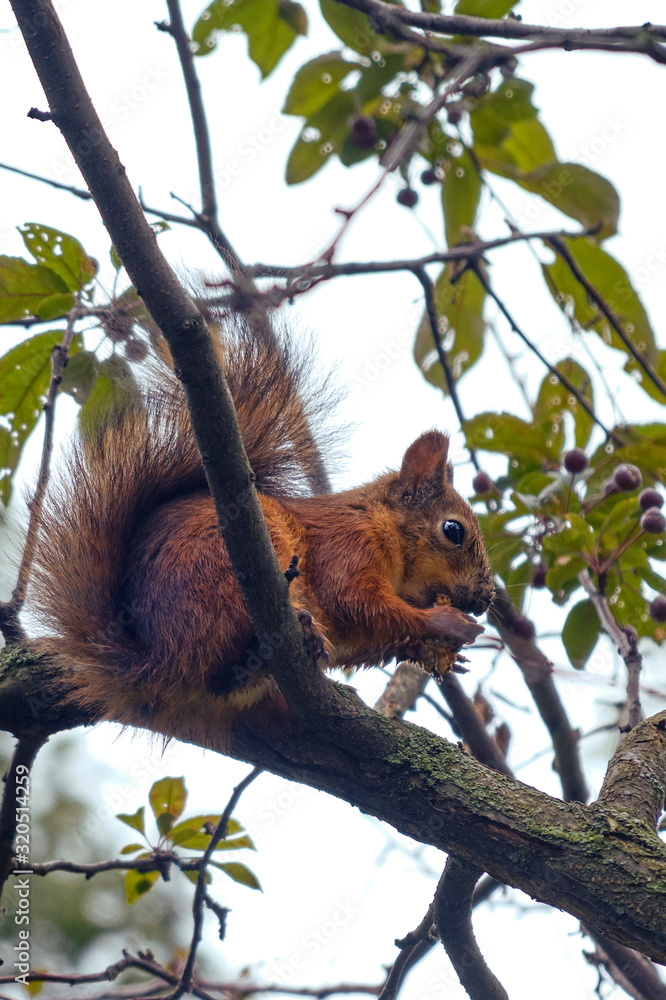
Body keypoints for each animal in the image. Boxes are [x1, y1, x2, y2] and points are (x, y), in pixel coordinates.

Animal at [28, 313, 494, 747]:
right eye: (453, 530)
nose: (485, 600)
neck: (384, 524)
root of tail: (158, 660)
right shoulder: (349, 544)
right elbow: (357, 601)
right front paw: (446, 623)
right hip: (221, 576)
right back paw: (296, 632)